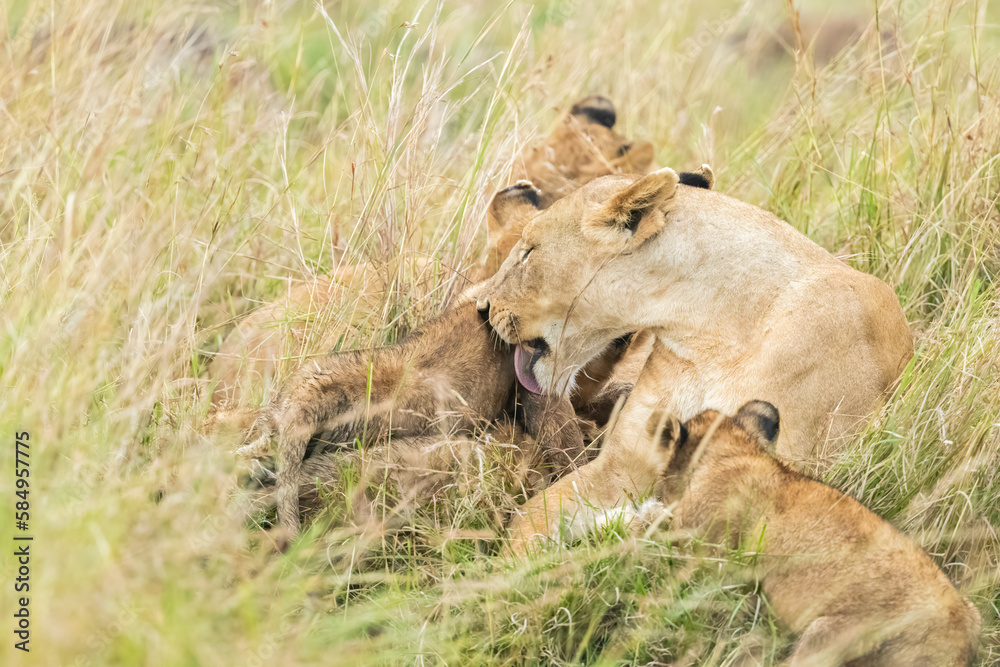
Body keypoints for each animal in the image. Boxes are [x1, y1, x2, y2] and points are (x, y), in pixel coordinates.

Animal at [475, 167, 913, 554]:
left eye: (529, 252)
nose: (483, 308)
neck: (706, 330)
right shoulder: (621, 465)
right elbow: (531, 519)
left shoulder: (784, 475)